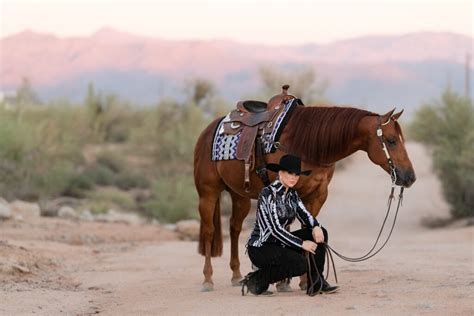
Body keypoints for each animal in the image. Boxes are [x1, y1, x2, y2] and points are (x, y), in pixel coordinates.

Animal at [193, 105, 414, 292]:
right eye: (392, 140)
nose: (410, 176)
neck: (307, 145)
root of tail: (208, 130)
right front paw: (286, 282)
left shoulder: (317, 195)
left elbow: (309, 230)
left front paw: (305, 281)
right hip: (208, 192)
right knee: (209, 231)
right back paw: (207, 280)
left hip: (239, 195)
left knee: (234, 228)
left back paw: (237, 275)